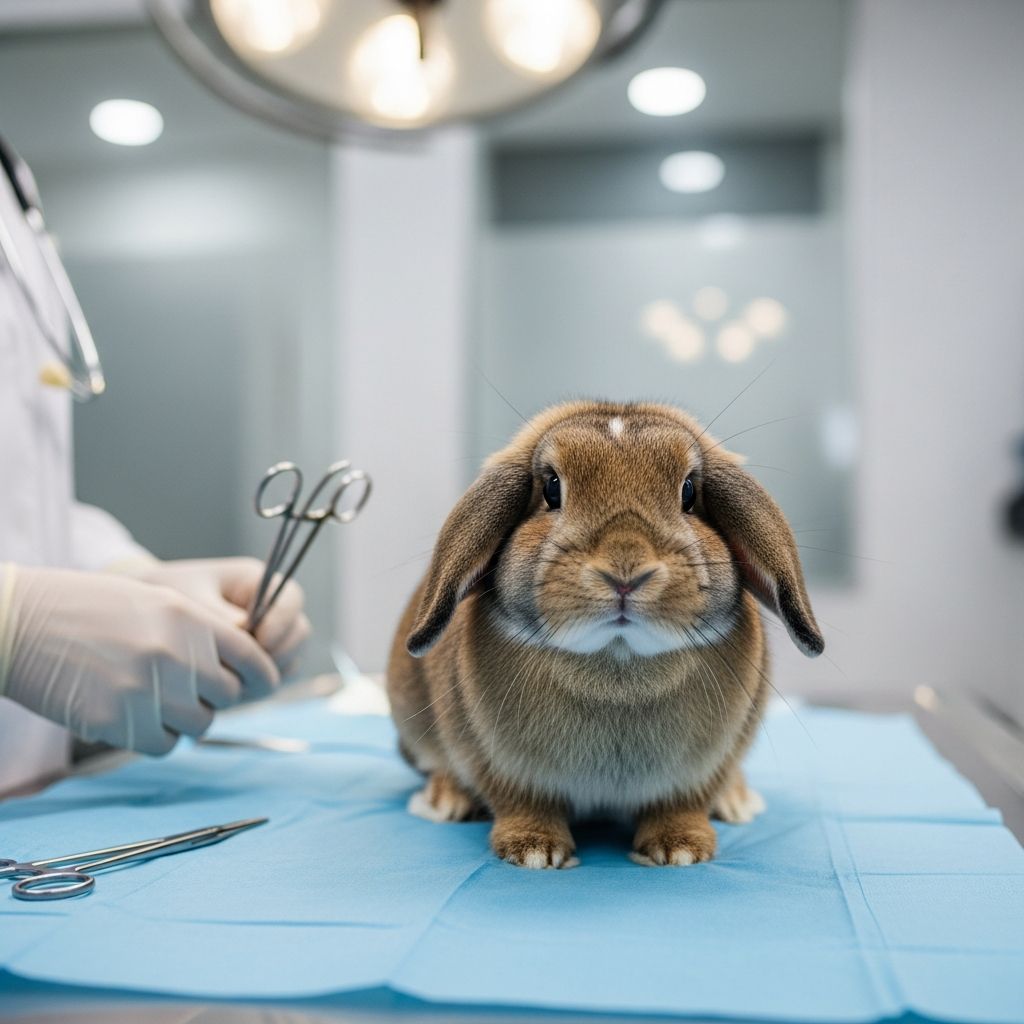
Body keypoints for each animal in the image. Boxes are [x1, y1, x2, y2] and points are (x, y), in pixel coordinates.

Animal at [387, 400, 823, 869]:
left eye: (689, 492)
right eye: (552, 489)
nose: (625, 572)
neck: (617, 658)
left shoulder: (700, 771)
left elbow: (681, 806)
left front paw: (680, 849)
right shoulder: (500, 766)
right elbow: (522, 805)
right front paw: (535, 851)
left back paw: (736, 801)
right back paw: (446, 801)